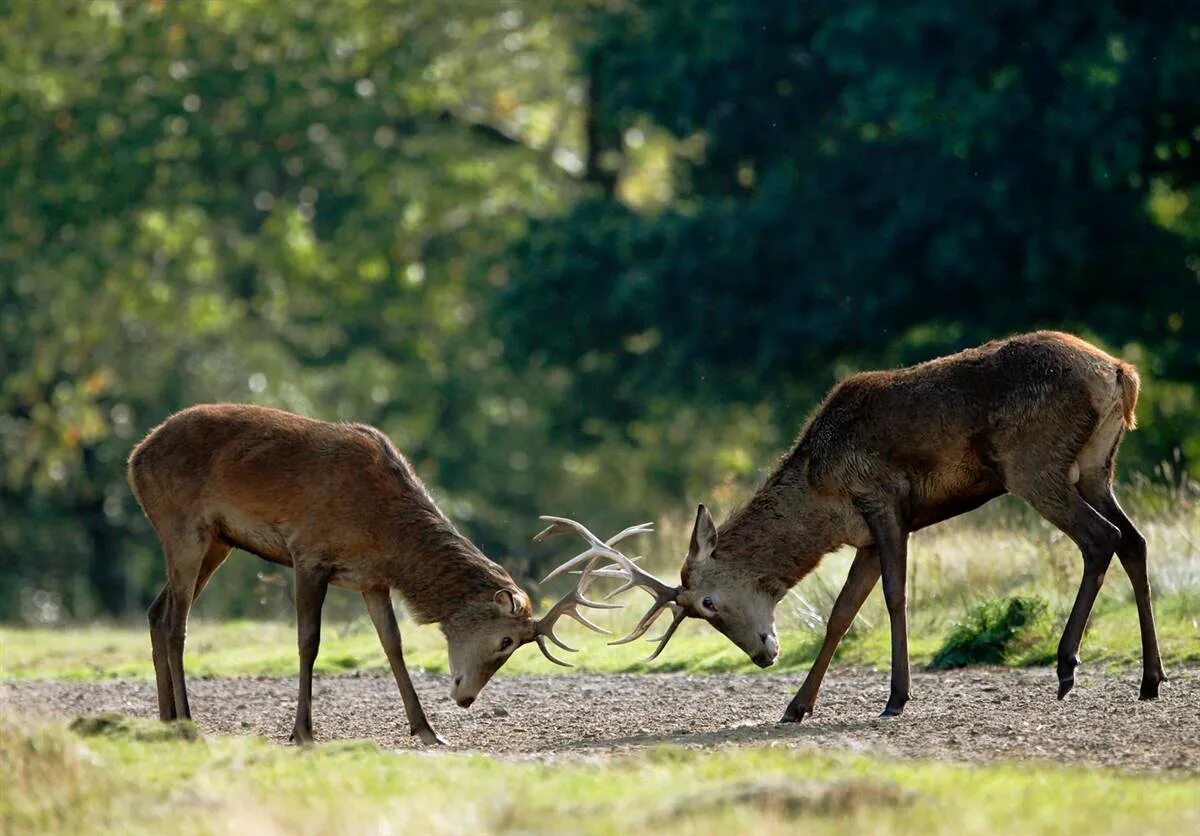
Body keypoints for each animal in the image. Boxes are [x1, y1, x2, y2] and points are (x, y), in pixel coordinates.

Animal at [126, 403, 652, 743]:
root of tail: (133, 458)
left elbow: (393, 645)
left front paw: (427, 730)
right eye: (506, 640)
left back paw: (166, 721)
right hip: (183, 527)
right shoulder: (308, 553)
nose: (465, 699)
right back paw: (188, 723)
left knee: (154, 611)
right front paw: (302, 732)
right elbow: (308, 641)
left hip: (218, 542)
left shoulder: (371, 579)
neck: (388, 536)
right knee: (174, 621)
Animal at [585, 328, 1166, 719]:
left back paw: (1067, 666)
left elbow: (892, 596)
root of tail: (1122, 374)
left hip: (1033, 464)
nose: (762, 655)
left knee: (1103, 538)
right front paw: (797, 706)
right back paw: (1151, 678)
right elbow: (841, 613)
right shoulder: (864, 535)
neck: (821, 499)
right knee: (1135, 539)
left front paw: (896, 697)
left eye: (707, 603)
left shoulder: (883, 501)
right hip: (1096, 467)